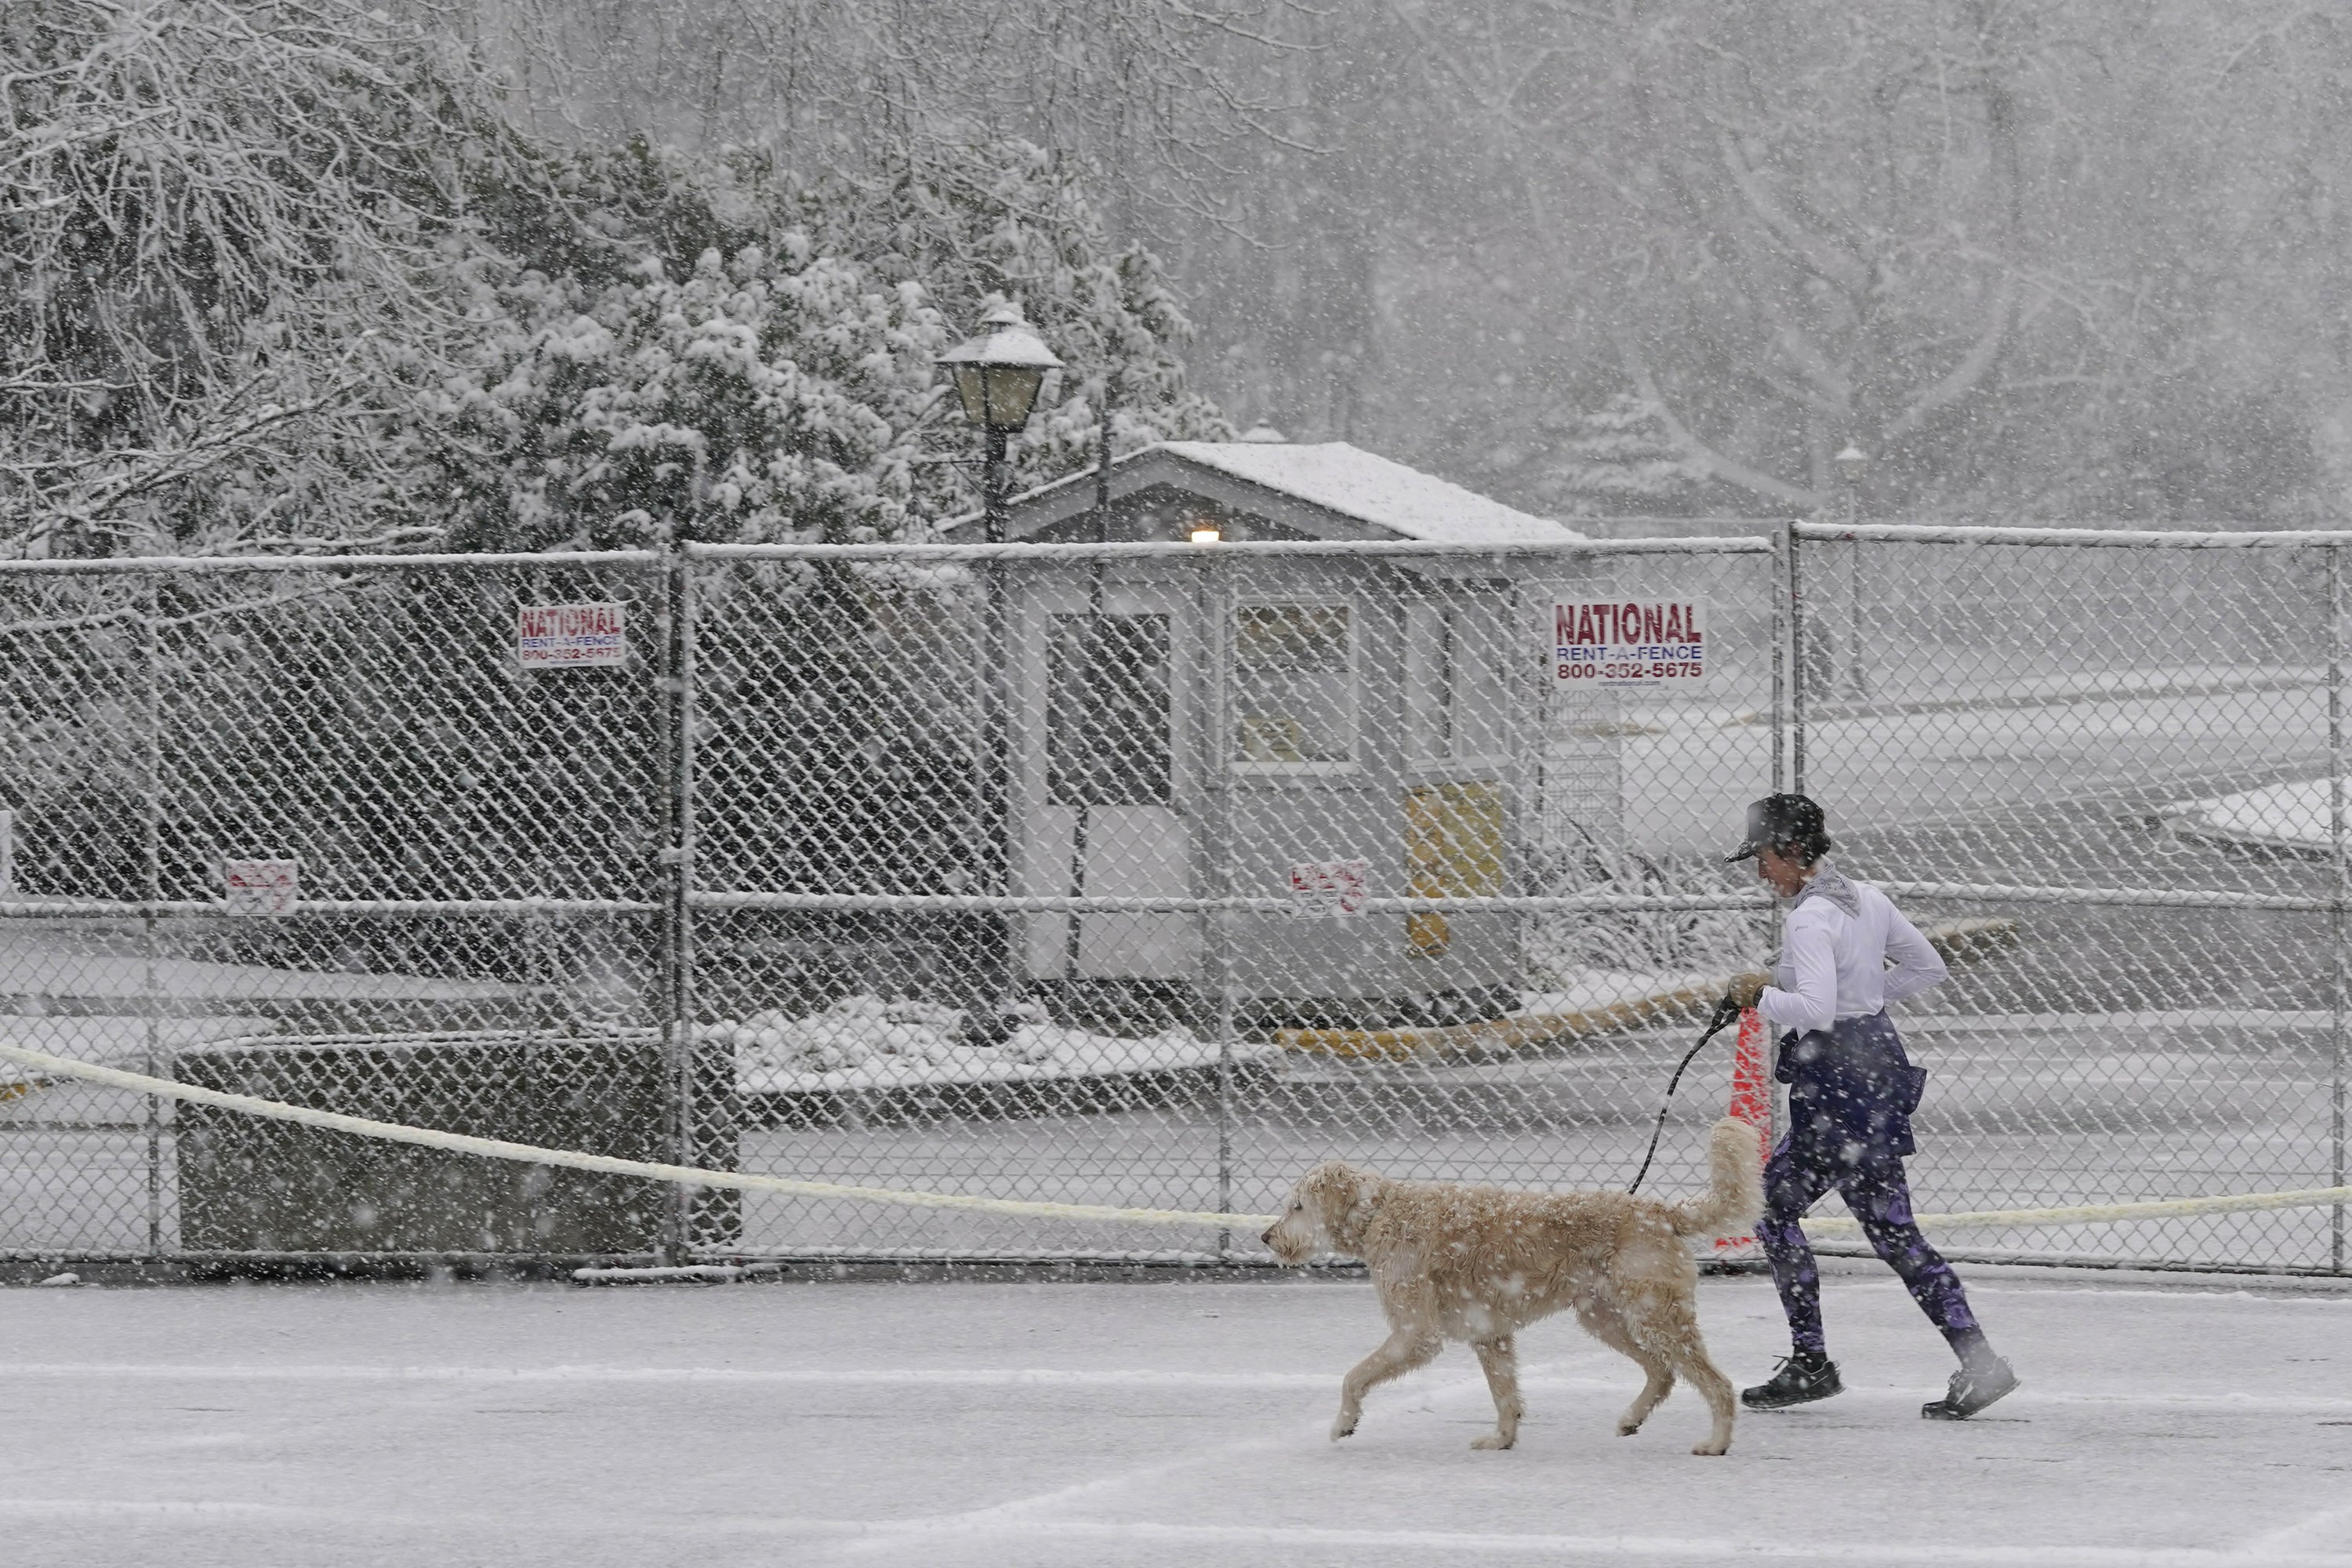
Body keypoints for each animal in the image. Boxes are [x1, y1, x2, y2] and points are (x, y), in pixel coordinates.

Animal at [1261, 1123, 1759, 1457]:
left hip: (1655, 1315)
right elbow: (1504, 1396)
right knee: (1662, 1372)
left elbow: (1353, 1377)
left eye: (1297, 1206)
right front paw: (1502, 1439)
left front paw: (1343, 1423)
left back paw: (1717, 1442)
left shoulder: (1415, 1333)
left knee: (1716, 1384)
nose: (1266, 1237)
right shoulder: (1489, 1333)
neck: (1380, 1213)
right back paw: (1632, 1419)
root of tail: (1661, 1211)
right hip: (1605, 1316)